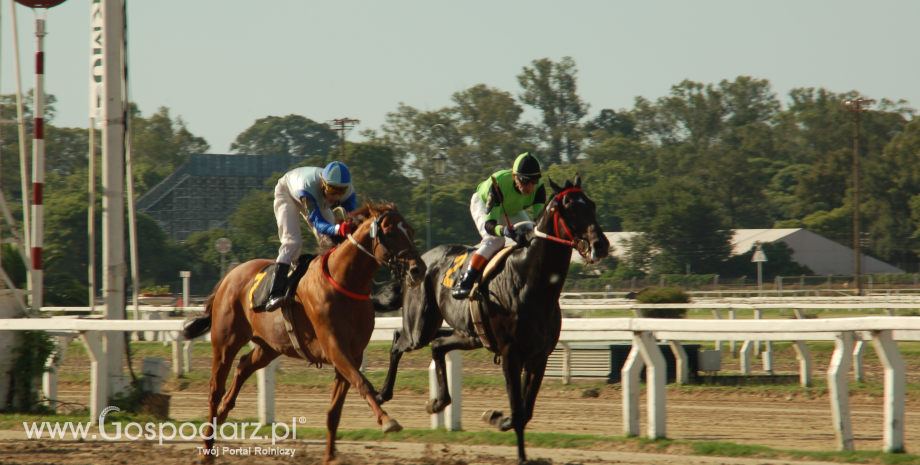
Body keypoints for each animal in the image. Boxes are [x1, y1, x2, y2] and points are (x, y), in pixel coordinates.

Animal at [183, 203, 428, 464]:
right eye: (390, 232)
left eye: (411, 230)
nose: (418, 269)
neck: (345, 283)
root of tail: (230, 275)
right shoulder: (335, 348)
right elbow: (363, 383)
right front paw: (387, 420)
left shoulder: (353, 353)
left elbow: (335, 411)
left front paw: (330, 457)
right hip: (225, 342)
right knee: (215, 389)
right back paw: (207, 449)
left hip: (269, 347)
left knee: (243, 366)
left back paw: (224, 411)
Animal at [370, 176, 608, 462]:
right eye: (571, 207)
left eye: (592, 205)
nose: (601, 245)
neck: (532, 283)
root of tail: (419, 261)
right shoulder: (510, 353)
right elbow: (518, 410)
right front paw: (519, 453)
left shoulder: (539, 357)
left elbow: (525, 411)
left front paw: (497, 418)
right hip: (420, 327)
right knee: (398, 340)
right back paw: (381, 394)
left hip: (469, 335)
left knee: (437, 346)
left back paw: (438, 401)